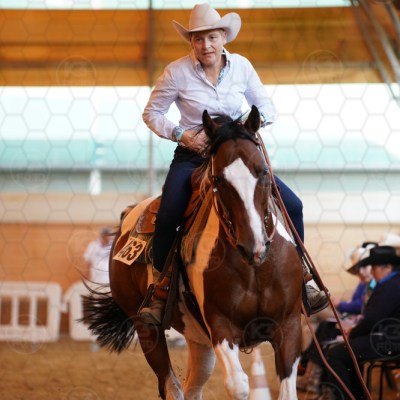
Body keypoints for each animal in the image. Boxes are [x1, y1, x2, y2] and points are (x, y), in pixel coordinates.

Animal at [83, 105, 303, 400]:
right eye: (218, 179)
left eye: (263, 171)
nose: (253, 245)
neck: (255, 268)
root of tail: (128, 216)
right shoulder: (219, 326)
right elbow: (239, 385)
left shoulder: (288, 325)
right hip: (146, 328)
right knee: (171, 385)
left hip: (197, 338)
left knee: (192, 387)